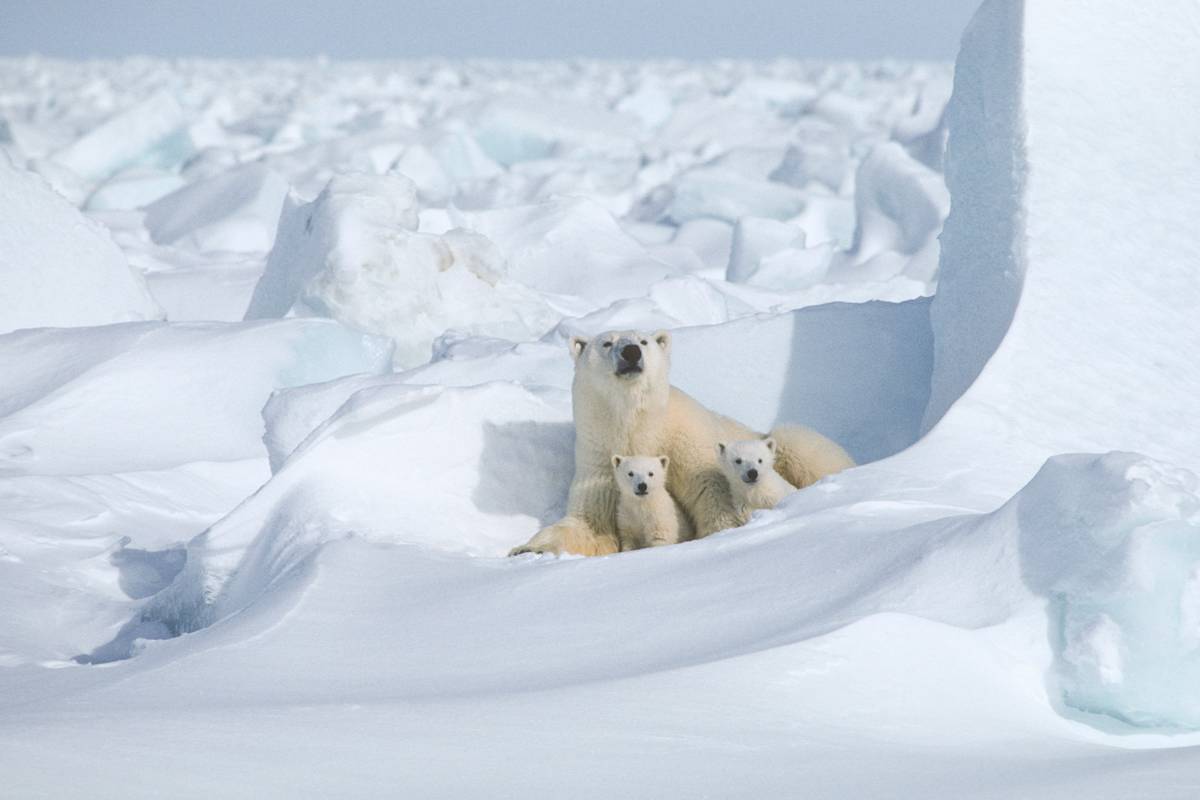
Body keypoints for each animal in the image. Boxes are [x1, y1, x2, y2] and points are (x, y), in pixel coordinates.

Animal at [508, 328, 855, 557]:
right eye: (607, 342)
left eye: (644, 341)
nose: (631, 352)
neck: (638, 429)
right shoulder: (600, 463)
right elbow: (590, 523)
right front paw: (527, 549)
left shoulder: (687, 444)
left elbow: (712, 494)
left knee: (796, 442)